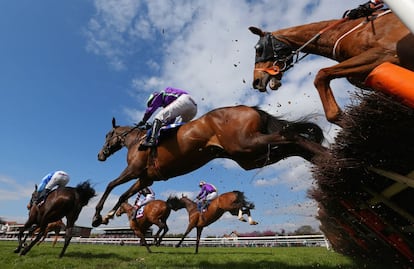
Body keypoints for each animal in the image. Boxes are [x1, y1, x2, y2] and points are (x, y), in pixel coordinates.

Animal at [93, 104, 326, 226]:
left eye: (107, 135)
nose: (100, 155)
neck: (137, 141)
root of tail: (249, 107)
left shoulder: (133, 171)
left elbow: (111, 186)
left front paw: (97, 216)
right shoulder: (145, 178)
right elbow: (123, 195)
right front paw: (107, 216)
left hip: (246, 143)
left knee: (291, 136)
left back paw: (325, 156)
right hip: (248, 156)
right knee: (292, 145)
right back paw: (324, 158)